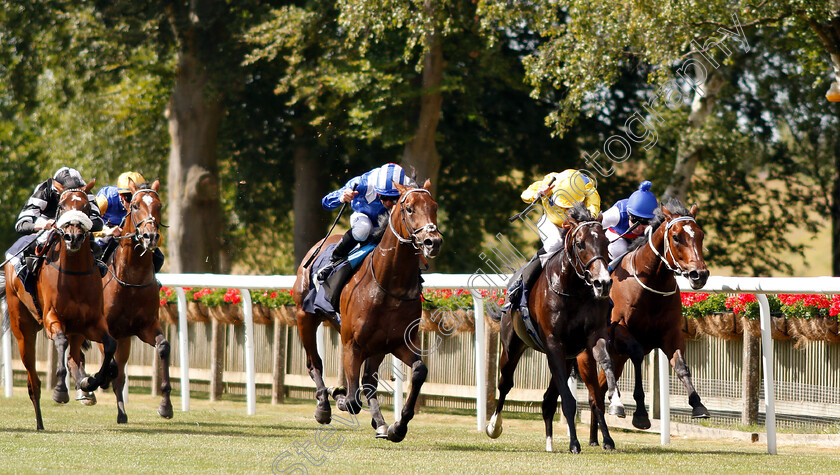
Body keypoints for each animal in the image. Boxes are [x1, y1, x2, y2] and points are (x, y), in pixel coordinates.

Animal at [3, 179, 117, 432]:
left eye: (86, 206)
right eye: (62, 206)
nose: (73, 237)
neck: (74, 275)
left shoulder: (92, 322)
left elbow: (110, 345)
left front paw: (91, 381)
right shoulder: (51, 318)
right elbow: (61, 341)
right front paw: (60, 391)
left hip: (76, 330)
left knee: (75, 355)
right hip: (23, 330)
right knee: (33, 380)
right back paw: (39, 421)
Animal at [67, 178, 172, 424]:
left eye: (159, 205)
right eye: (135, 205)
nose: (150, 236)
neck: (131, 280)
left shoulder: (145, 327)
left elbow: (163, 347)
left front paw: (165, 406)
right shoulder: (102, 328)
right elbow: (109, 363)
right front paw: (95, 381)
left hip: (125, 339)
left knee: (119, 372)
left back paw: (121, 412)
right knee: (73, 357)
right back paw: (85, 389)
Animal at [292, 180, 442, 444]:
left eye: (434, 206)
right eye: (409, 208)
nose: (432, 241)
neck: (389, 286)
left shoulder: (398, 342)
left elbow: (418, 371)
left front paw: (397, 427)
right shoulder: (352, 344)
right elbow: (352, 400)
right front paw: (338, 394)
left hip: (377, 346)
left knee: (369, 380)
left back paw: (380, 423)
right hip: (305, 317)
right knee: (314, 363)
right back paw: (323, 406)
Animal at [486, 205, 624, 454]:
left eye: (606, 242)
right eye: (580, 243)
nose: (603, 283)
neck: (574, 289)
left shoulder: (593, 337)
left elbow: (604, 373)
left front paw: (614, 411)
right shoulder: (554, 344)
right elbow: (568, 400)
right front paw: (574, 443)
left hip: (568, 358)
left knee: (548, 399)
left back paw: (550, 442)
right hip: (512, 348)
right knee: (505, 384)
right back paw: (494, 426)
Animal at [580, 197, 712, 446]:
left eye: (700, 235)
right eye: (676, 236)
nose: (699, 275)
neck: (651, 285)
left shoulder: (671, 334)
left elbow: (681, 366)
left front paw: (698, 404)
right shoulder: (621, 332)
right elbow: (638, 355)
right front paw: (640, 415)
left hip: (616, 359)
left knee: (598, 392)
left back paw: (596, 438)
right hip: (588, 355)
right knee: (592, 391)